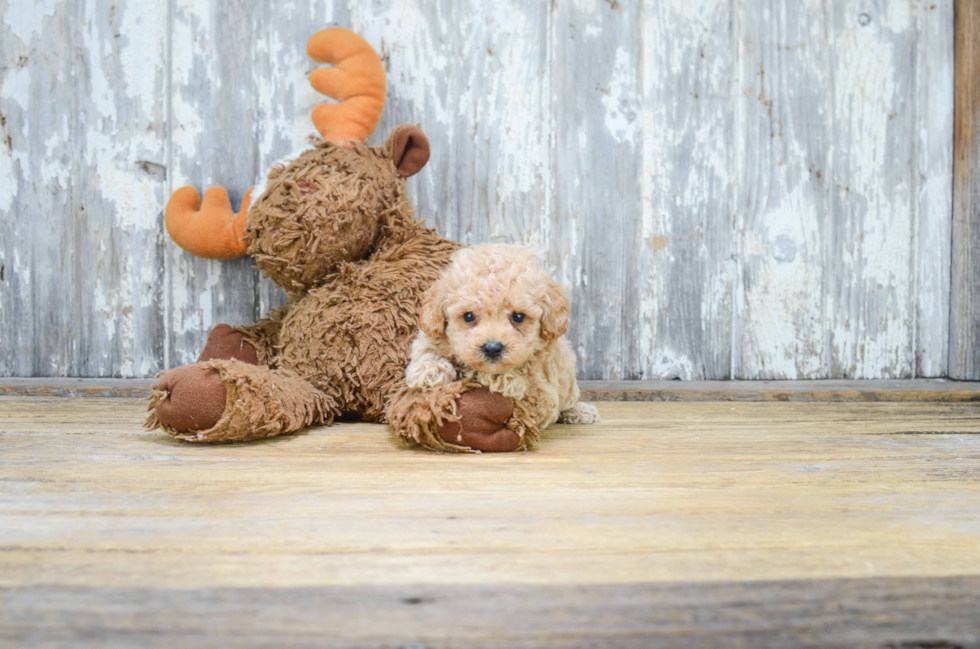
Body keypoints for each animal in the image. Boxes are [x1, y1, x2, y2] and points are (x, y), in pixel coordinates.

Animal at [404, 244, 596, 440]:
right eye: (468, 316)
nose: (492, 348)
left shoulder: (542, 395)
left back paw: (581, 411)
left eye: (518, 317)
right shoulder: (431, 333)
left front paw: (502, 379)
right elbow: (426, 350)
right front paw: (430, 371)